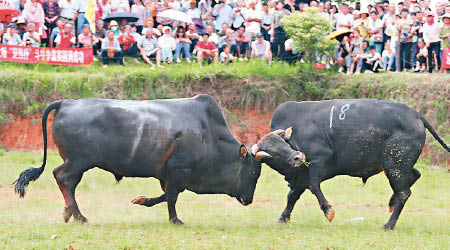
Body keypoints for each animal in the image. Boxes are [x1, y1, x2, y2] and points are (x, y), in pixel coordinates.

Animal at [14, 95, 262, 225]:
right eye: (253, 173)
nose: (249, 200)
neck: (208, 134)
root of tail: (67, 102)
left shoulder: (169, 174)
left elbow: (166, 195)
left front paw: (142, 200)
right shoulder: (179, 170)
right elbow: (172, 197)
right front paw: (175, 220)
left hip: (77, 164)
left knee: (68, 183)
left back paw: (70, 213)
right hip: (78, 161)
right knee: (61, 177)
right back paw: (79, 215)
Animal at [255, 98, 448, 229]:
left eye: (283, 144)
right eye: (272, 153)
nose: (297, 157)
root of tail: (415, 114)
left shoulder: (318, 161)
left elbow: (313, 186)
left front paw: (328, 211)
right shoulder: (301, 175)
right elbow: (293, 195)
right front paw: (283, 218)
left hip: (395, 166)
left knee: (404, 192)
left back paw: (389, 225)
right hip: (396, 166)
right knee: (414, 176)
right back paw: (391, 203)